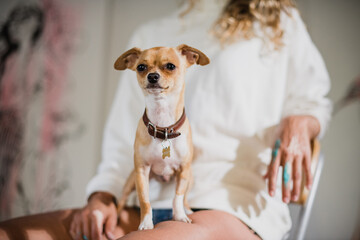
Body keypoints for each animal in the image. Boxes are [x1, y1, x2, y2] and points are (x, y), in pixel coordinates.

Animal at [114, 44, 210, 230]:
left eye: (170, 66)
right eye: (141, 67)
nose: (152, 76)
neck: (163, 127)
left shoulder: (183, 171)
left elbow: (178, 197)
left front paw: (179, 216)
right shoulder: (141, 172)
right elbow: (145, 200)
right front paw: (145, 223)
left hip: (190, 178)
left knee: (185, 198)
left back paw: (188, 210)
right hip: (130, 181)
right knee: (121, 202)